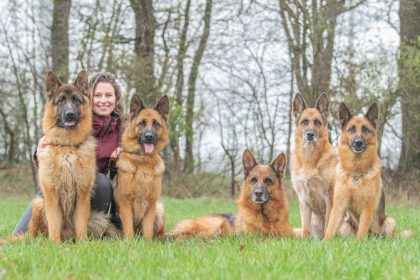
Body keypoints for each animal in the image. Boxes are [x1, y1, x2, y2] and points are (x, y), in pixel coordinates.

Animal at [115, 95, 169, 240]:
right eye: (142, 123)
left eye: (156, 123)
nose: (149, 137)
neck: (143, 160)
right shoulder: (125, 202)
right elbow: (128, 229)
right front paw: (129, 243)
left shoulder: (151, 203)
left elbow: (148, 230)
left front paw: (148, 243)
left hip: (160, 209)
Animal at [290, 93, 336, 237]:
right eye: (305, 122)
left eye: (317, 122)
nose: (310, 134)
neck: (310, 160)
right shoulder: (303, 199)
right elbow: (305, 227)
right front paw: (306, 239)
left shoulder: (330, 196)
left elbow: (328, 222)